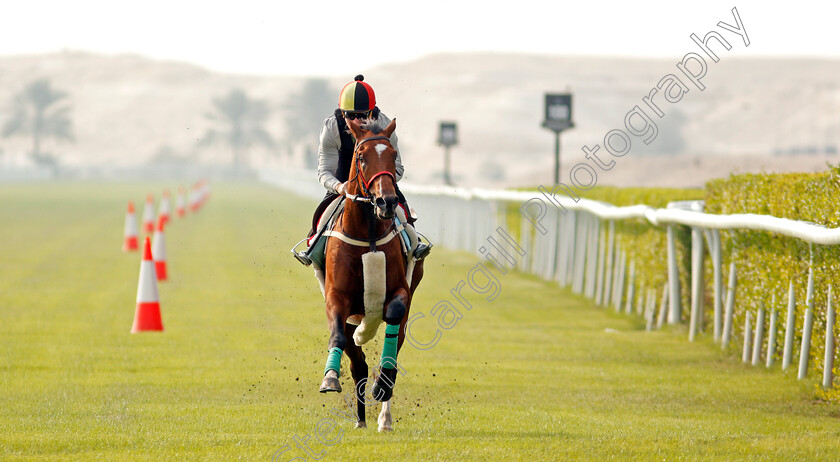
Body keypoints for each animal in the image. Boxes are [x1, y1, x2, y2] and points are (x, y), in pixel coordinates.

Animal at [322, 117, 426, 432]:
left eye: (392, 155)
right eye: (361, 156)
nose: (386, 201)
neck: (366, 233)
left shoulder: (401, 291)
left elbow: (393, 313)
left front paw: (383, 385)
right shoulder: (336, 296)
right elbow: (339, 337)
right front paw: (330, 377)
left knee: (392, 347)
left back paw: (383, 416)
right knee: (358, 364)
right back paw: (360, 418)